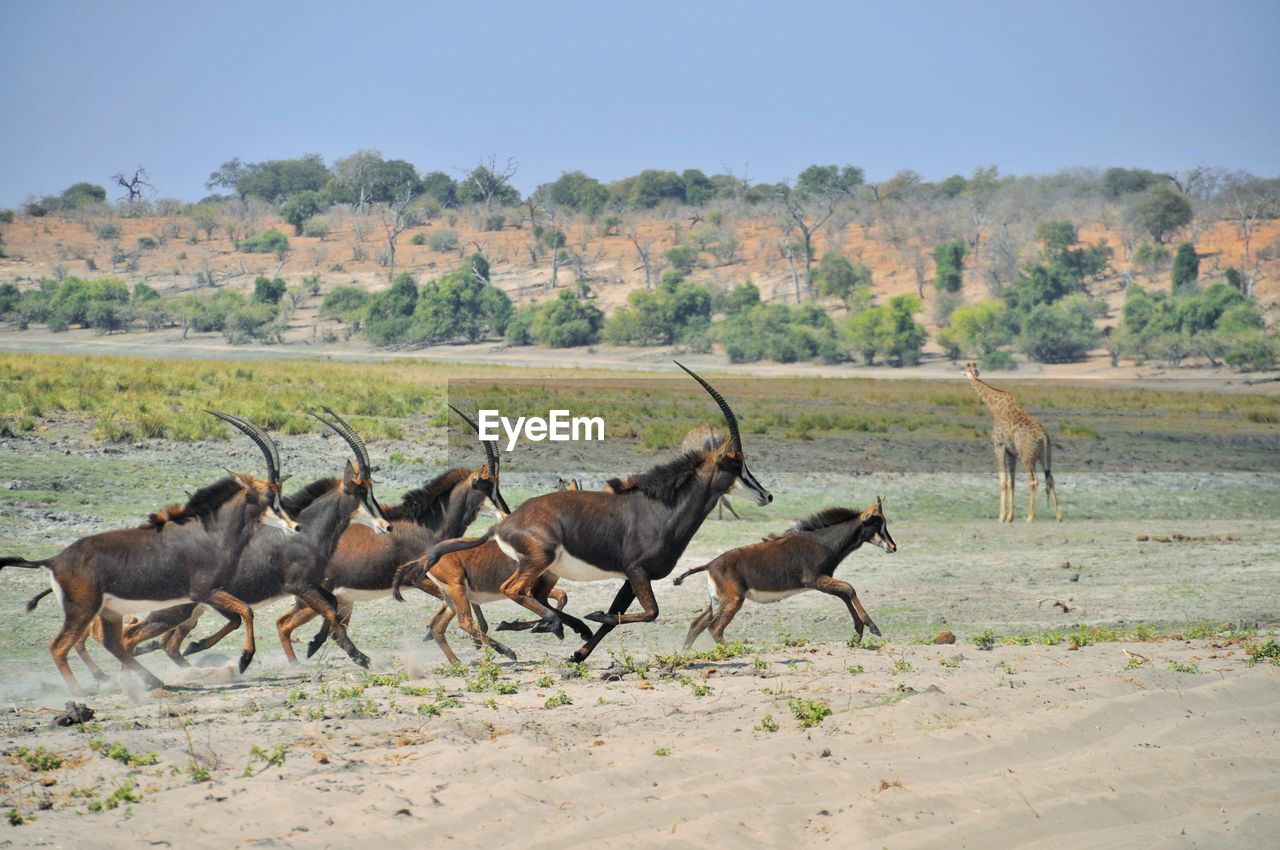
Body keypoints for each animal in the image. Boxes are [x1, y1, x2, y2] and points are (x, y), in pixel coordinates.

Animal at [1, 412, 294, 696]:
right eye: (270, 496)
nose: (294, 526)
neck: (209, 533)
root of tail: (53, 560)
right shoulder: (203, 592)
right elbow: (246, 611)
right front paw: (244, 659)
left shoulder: (209, 595)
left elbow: (239, 615)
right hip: (83, 610)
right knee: (60, 645)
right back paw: (80, 692)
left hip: (109, 611)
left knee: (114, 643)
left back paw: (153, 681)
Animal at [273, 404, 509, 665]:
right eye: (487, 486)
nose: (506, 514)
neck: (426, 525)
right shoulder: (417, 578)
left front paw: (437, 631)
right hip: (313, 601)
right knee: (286, 624)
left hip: (332, 601)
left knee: (293, 623)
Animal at [427, 360, 768, 665]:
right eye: (735, 462)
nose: (766, 494)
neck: (661, 509)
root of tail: (505, 523)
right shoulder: (637, 571)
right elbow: (648, 613)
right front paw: (592, 618)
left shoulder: (632, 578)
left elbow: (618, 617)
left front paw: (579, 654)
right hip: (540, 559)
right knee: (513, 589)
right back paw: (551, 625)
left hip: (543, 568)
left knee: (536, 596)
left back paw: (556, 626)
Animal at [675, 494, 896, 647]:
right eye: (878, 523)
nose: (893, 547)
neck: (823, 541)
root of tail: (710, 565)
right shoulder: (814, 579)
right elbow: (849, 588)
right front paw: (873, 627)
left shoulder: (821, 582)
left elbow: (844, 594)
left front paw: (858, 632)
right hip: (733, 601)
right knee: (714, 628)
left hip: (717, 602)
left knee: (697, 624)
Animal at [962, 360, 1059, 522]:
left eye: (966, 367)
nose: (968, 373)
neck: (994, 408)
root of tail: (1043, 437)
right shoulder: (1011, 452)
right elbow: (1011, 481)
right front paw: (1010, 517)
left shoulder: (999, 446)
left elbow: (1003, 480)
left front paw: (1001, 517)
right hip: (1044, 456)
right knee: (1050, 478)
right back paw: (1059, 516)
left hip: (1027, 457)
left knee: (1034, 480)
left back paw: (1030, 517)